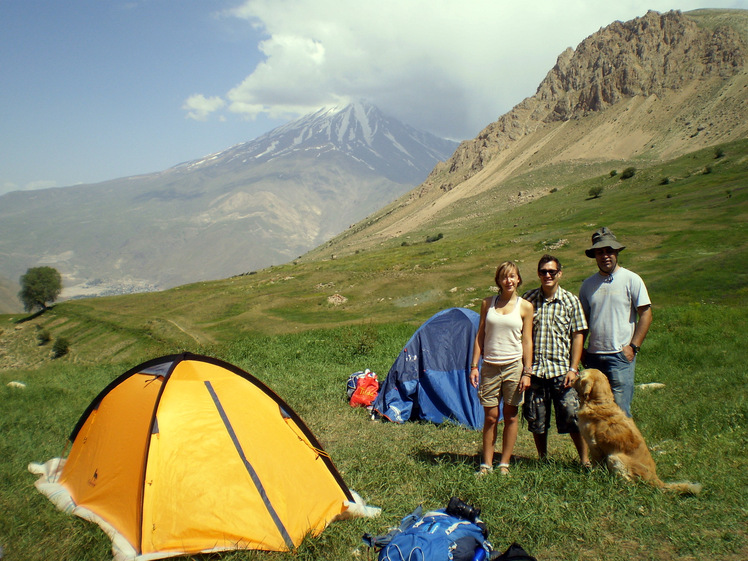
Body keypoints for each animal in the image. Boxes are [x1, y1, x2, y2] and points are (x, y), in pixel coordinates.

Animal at [572, 370, 700, 492]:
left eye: (579, 375)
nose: (571, 378)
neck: (599, 402)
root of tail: (654, 478)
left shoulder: (593, 444)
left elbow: (596, 464)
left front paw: (591, 475)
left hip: (614, 457)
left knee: (630, 483)